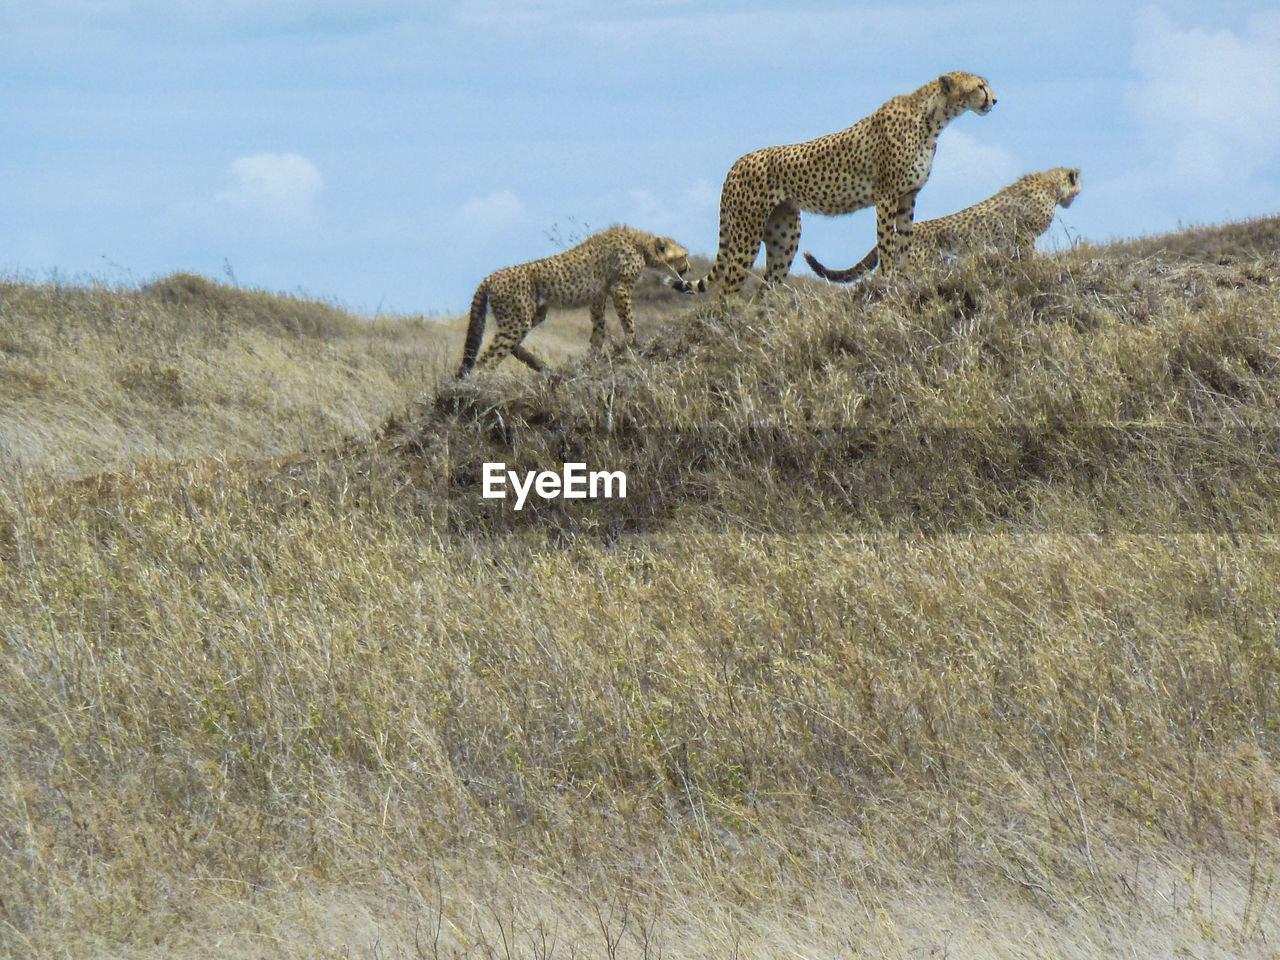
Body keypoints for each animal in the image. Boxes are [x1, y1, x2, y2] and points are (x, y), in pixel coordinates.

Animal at [458, 227, 691, 378]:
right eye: (684, 255)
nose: (688, 267)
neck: (640, 244)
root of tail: (490, 277)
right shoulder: (619, 288)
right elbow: (628, 322)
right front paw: (633, 344)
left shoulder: (597, 296)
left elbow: (599, 329)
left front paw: (592, 356)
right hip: (517, 320)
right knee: (488, 356)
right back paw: (482, 385)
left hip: (529, 315)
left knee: (502, 344)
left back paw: (536, 364)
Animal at [675, 72, 993, 302]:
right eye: (980, 86)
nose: (995, 100)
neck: (932, 119)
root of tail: (736, 163)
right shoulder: (887, 197)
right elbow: (886, 244)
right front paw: (888, 280)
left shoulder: (907, 197)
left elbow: (904, 241)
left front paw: (907, 279)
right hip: (747, 234)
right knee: (726, 293)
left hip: (785, 235)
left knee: (765, 289)